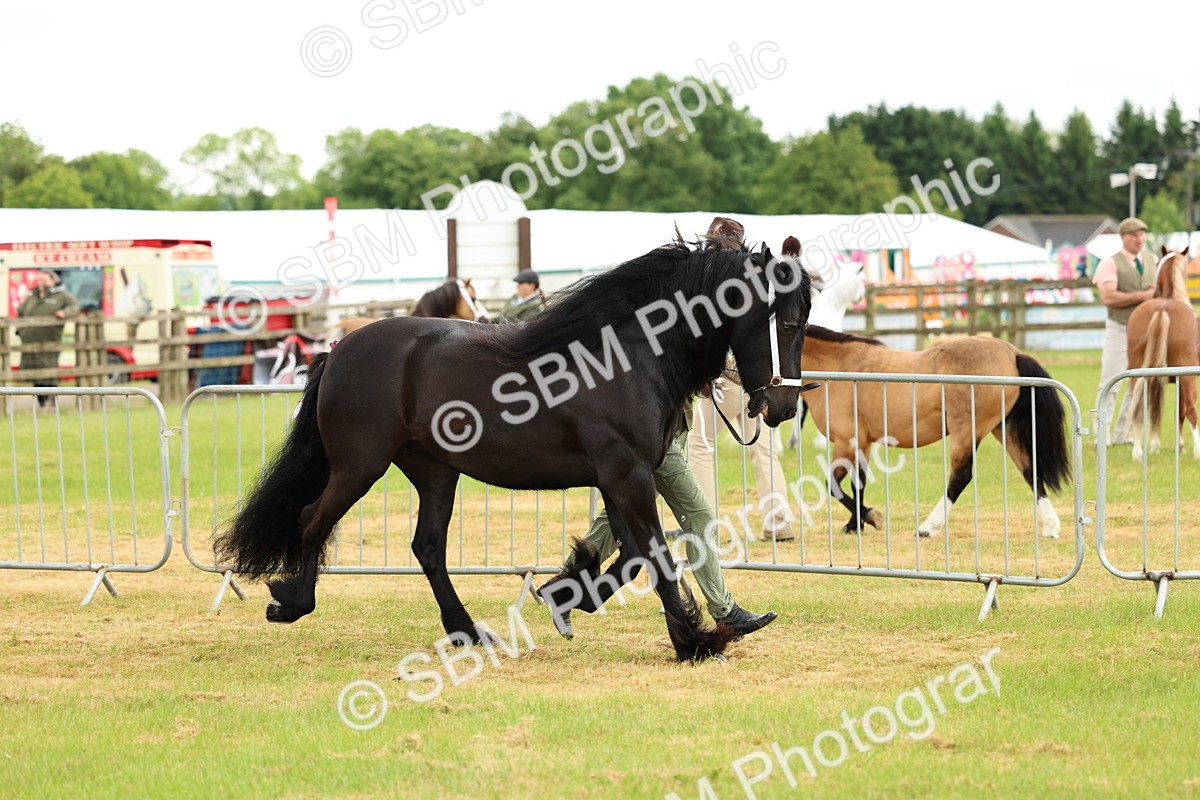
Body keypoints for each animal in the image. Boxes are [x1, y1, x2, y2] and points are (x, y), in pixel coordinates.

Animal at [214, 239, 820, 662]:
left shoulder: (619, 478)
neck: (626, 356)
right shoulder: (626, 476)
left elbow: (630, 556)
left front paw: (566, 594)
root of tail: (339, 349)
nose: (783, 407)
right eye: (788, 322)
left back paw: (466, 631)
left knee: (427, 546)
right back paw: (291, 603)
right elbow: (654, 556)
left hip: (435, 472)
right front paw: (695, 643)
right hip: (360, 465)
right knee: (312, 518)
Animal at [799, 326, 1070, 539]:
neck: (839, 366)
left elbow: (833, 484)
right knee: (1030, 471)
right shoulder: (862, 444)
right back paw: (1051, 527)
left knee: (961, 476)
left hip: (967, 431)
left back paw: (928, 527)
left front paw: (871, 517)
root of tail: (1013, 354)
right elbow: (858, 483)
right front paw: (854, 525)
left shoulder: (846, 442)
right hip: (1003, 427)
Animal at [1124, 248, 1200, 460]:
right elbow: (1181, 411)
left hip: (1136, 371)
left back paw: (1137, 451)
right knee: (1192, 410)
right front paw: (1180, 446)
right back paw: (1198, 451)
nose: (1154, 290)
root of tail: (1162, 307)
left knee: (1137, 407)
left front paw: (1157, 446)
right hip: (1188, 376)